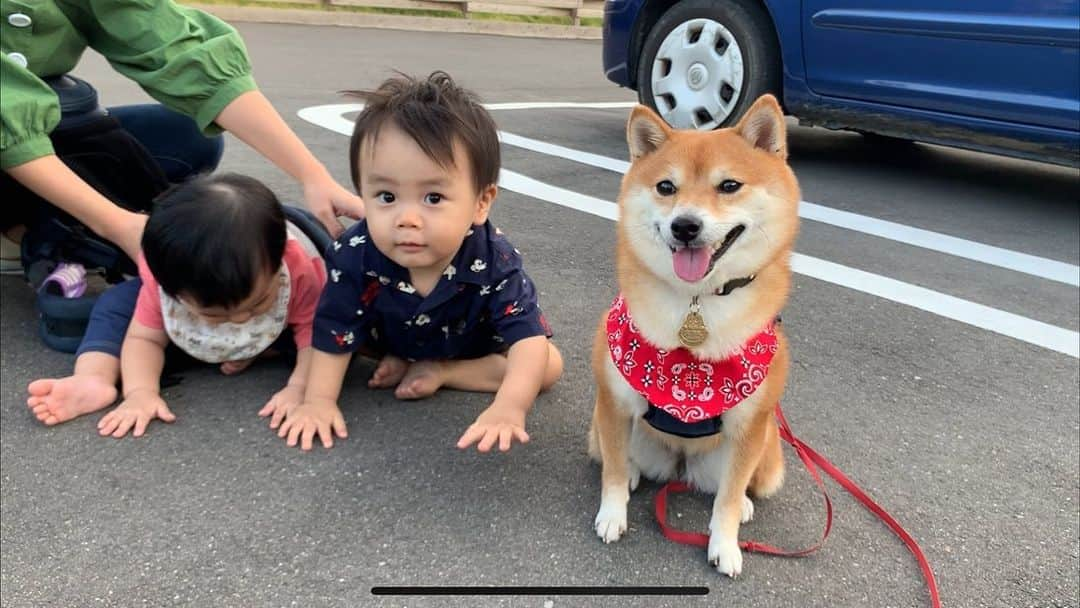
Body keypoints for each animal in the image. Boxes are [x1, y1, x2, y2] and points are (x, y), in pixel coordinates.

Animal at [587, 93, 799, 574]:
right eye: (666, 187)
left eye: (729, 186)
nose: (685, 225)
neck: (696, 300)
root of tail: (681, 462)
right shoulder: (615, 400)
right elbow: (611, 472)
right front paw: (612, 515)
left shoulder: (748, 423)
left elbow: (727, 498)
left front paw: (725, 544)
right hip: (605, 428)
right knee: (618, 455)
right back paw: (633, 470)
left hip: (768, 450)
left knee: (738, 484)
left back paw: (745, 506)